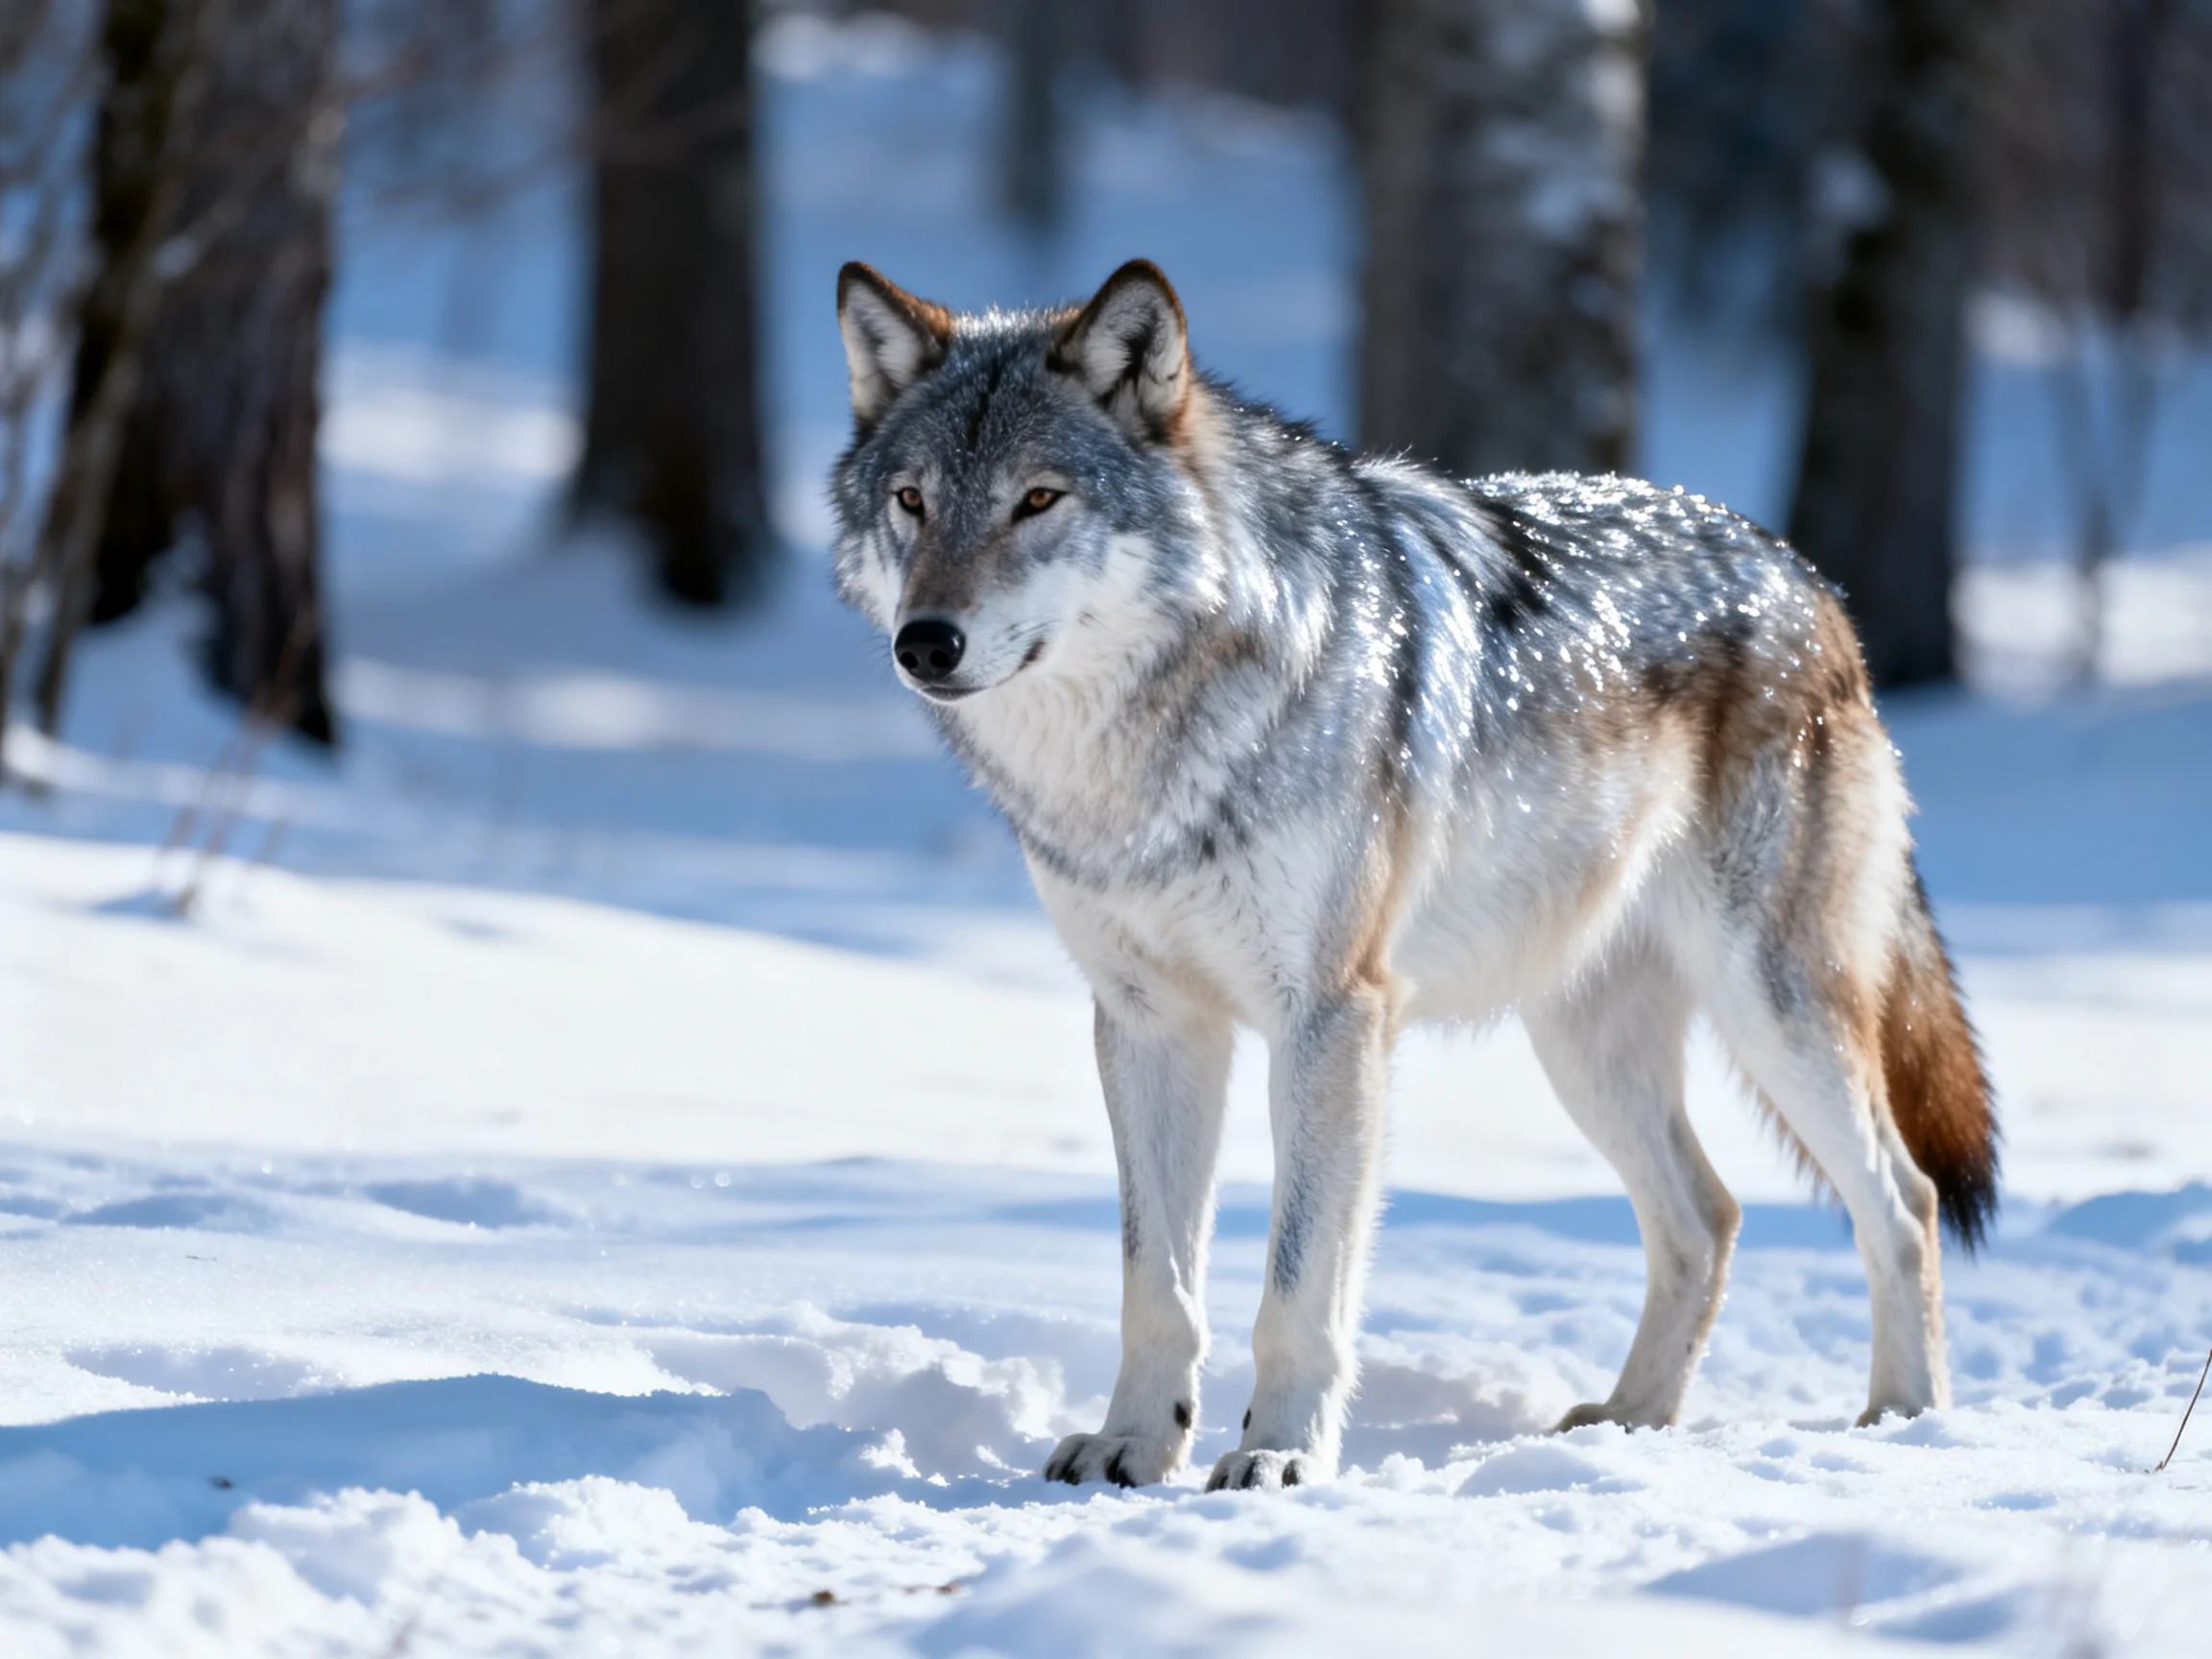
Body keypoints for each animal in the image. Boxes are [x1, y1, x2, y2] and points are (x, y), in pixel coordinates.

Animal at [829, 259, 1997, 1492]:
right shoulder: (1150, 1025)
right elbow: (1158, 1286)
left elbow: (1297, 1287)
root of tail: (1805, 577)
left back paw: (1904, 1417)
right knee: (1709, 1215)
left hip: (1774, 1011)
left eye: (1038, 501)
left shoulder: (1331, 1021)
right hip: (1584, 1047)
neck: (1143, 767)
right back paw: (1632, 1419)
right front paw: (1134, 1446)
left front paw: (1279, 1454)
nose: (926, 641)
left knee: (1903, 1199)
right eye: (911, 501)